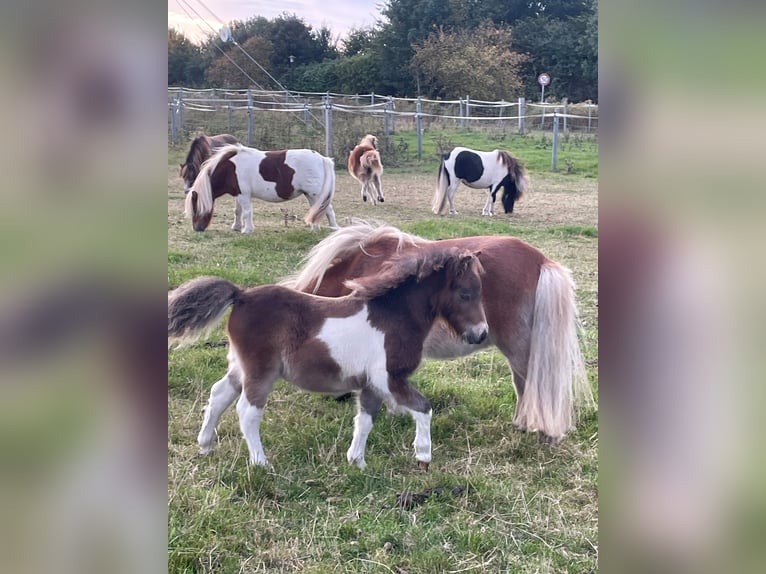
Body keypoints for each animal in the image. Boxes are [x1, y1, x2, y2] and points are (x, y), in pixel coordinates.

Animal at [171, 249, 488, 472]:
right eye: (465, 293)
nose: (481, 334)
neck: (393, 317)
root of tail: (242, 295)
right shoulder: (388, 377)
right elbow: (423, 407)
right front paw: (423, 456)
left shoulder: (371, 384)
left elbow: (365, 420)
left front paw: (357, 462)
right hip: (260, 371)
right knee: (248, 411)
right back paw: (260, 462)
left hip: (240, 367)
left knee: (219, 395)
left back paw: (206, 445)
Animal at [186, 144, 340, 234]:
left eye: (196, 209)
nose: (197, 229)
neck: (230, 169)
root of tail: (323, 159)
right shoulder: (238, 194)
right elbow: (237, 211)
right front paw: (236, 227)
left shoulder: (244, 195)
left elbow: (247, 212)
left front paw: (247, 230)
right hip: (311, 195)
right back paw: (316, 228)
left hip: (315, 194)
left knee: (328, 210)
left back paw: (332, 229)